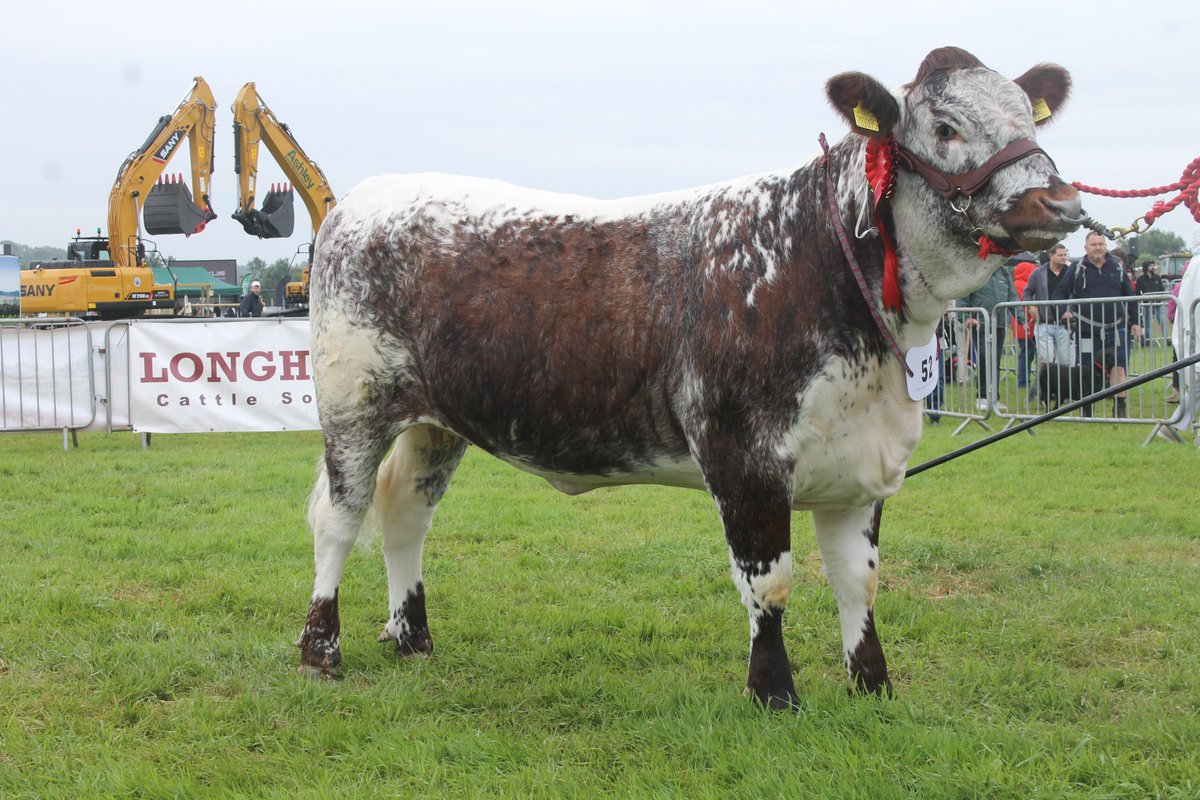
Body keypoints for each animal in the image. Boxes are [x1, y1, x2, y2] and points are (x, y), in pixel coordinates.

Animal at [296, 47, 1082, 709]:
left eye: (1027, 115)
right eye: (946, 126)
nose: (1062, 204)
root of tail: (359, 201)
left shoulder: (859, 463)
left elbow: (858, 579)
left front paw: (873, 686)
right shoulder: (745, 454)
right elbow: (771, 582)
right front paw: (774, 694)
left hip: (436, 422)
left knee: (406, 515)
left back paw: (412, 638)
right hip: (353, 405)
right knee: (340, 517)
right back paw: (320, 649)